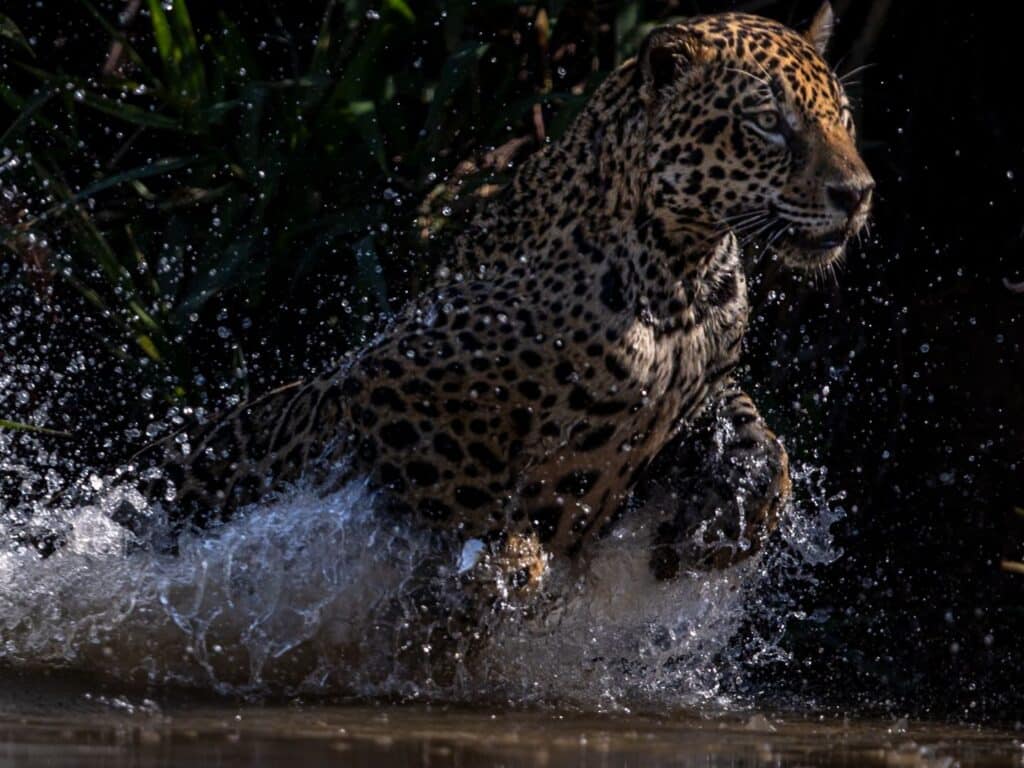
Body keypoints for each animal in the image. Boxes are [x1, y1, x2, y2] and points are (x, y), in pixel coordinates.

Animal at [132, 3, 873, 593]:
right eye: (770, 124)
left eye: (844, 118)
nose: (858, 193)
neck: (680, 277)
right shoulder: (385, 386)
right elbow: (470, 499)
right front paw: (500, 568)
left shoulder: (699, 387)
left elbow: (761, 438)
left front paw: (731, 520)